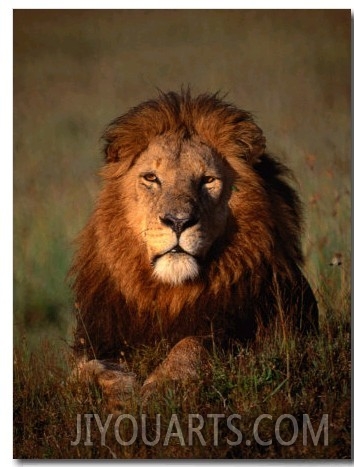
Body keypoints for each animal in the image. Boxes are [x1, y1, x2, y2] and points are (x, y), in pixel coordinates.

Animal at [69, 90, 318, 410]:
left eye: (207, 180)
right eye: (151, 178)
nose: (178, 221)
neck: (170, 294)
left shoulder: (250, 336)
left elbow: (191, 345)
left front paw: (161, 389)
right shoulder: (96, 339)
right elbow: (82, 370)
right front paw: (121, 393)